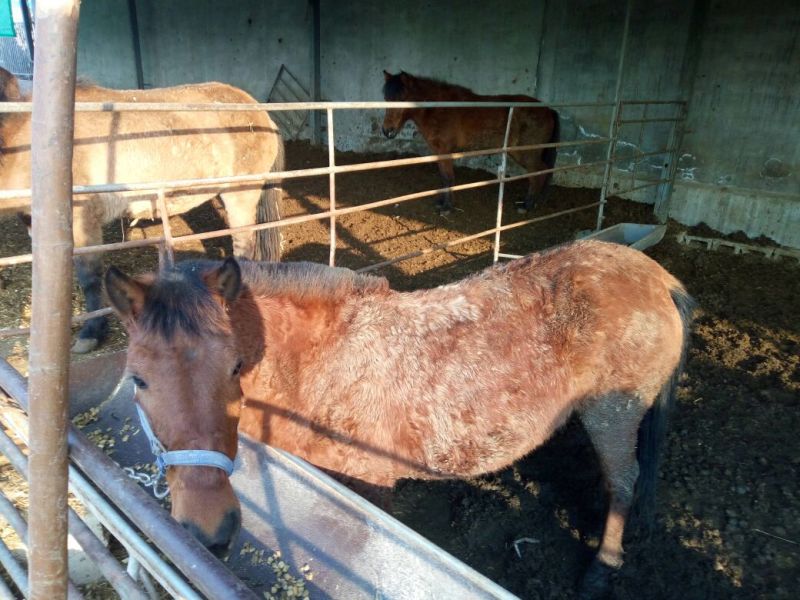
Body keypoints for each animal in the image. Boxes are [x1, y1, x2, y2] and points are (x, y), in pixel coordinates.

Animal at [0, 67, 284, 353]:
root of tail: (258, 111)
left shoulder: (83, 225)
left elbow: (89, 278)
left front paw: (91, 331)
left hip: (241, 195)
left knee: (244, 246)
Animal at [104, 239, 694, 598]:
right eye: (138, 379)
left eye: (234, 367)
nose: (209, 530)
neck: (320, 362)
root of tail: (658, 277)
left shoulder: (372, 482)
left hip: (613, 412)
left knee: (624, 479)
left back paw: (603, 567)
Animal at [381, 70, 560, 215]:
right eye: (386, 98)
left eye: (402, 98)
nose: (387, 131)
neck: (439, 108)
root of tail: (549, 110)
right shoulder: (439, 152)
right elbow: (444, 178)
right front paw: (442, 203)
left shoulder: (445, 151)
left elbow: (449, 178)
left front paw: (447, 208)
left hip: (526, 153)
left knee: (538, 173)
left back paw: (527, 206)